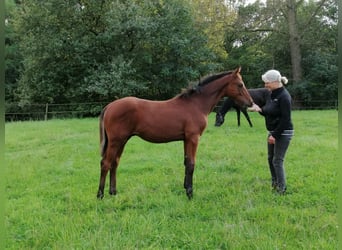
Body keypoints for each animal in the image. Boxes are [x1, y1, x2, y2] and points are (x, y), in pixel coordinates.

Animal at [97, 67, 252, 199]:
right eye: (240, 84)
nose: (250, 103)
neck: (196, 104)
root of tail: (109, 106)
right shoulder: (193, 138)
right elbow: (191, 164)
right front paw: (190, 193)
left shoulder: (186, 139)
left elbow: (186, 162)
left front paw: (185, 187)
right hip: (116, 141)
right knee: (106, 163)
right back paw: (100, 195)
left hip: (122, 140)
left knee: (115, 163)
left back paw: (113, 192)